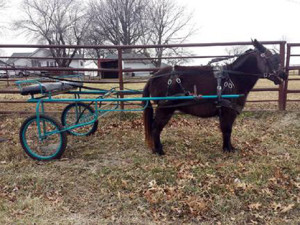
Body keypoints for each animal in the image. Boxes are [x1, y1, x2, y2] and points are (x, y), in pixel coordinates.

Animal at [142, 39, 288, 155]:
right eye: (272, 59)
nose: (284, 74)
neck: (234, 78)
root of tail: (154, 77)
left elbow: (227, 130)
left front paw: (229, 147)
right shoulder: (227, 111)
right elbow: (227, 130)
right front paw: (228, 149)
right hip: (165, 108)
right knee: (156, 127)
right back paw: (159, 150)